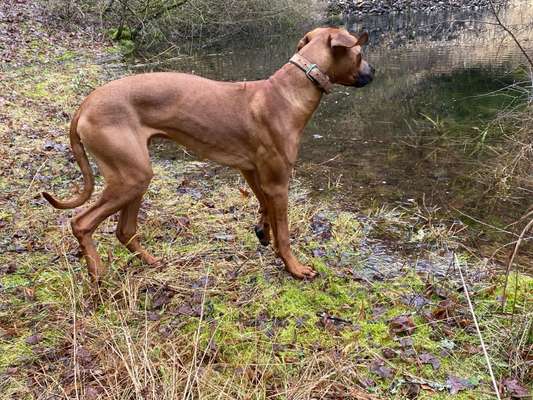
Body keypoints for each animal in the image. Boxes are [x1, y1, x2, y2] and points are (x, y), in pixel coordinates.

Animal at [42, 27, 374, 282]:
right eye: (359, 54)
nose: (373, 72)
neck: (287, 92)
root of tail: (86, 103)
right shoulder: (279, 182)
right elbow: (284, 233)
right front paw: (294, 267)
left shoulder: (252, 172)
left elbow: (263, 206)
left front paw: (262, 231)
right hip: (130, 177)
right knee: (81, 223)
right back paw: (97, 272)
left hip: (135, 176)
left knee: (125, 231)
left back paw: (151, 262)